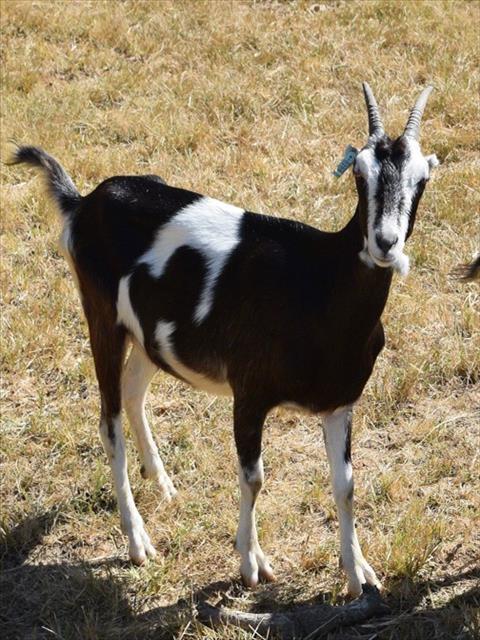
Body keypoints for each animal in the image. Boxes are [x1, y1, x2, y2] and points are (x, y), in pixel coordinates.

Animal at [11, 84, 438, 596]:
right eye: (360, 174)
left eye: (421, 179)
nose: (384, 243)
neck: (319, 284)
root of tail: (83, 202)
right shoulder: (249, 392)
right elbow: (253, 477)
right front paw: (252, 563)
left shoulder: (340, 403)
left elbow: (346, 486)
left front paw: (359, 573)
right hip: (103, 319)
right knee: (108, 421)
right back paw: (138, 541)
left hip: (151, 336)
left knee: (133, 391)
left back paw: (163, 484)